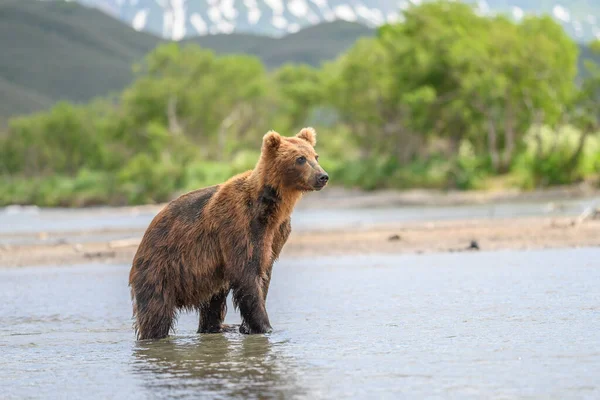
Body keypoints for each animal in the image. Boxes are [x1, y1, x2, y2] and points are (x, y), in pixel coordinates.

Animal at [126, 126, 328, 340]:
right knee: (157, 311)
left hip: (206, 275)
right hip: (161, 268)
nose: (323, 176)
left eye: (316, 156)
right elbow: (246, 274)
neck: (270, 208)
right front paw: (264, 327)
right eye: (300, 158)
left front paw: (247, 327)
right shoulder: (238, 225)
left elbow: (264, 274)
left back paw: (216, 327)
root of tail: (145, 236)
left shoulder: (276, 234)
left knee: (213, 301)